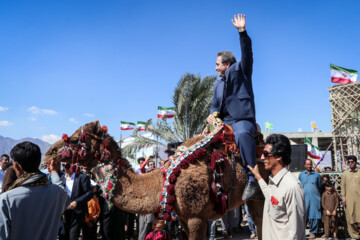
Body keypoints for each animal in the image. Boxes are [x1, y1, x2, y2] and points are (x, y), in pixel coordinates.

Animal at [43, 121, 268, 239]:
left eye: (74, 140)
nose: (47, 155)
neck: (165, 181)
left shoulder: (196, 216)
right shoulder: (184, 217)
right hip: (255, 199)